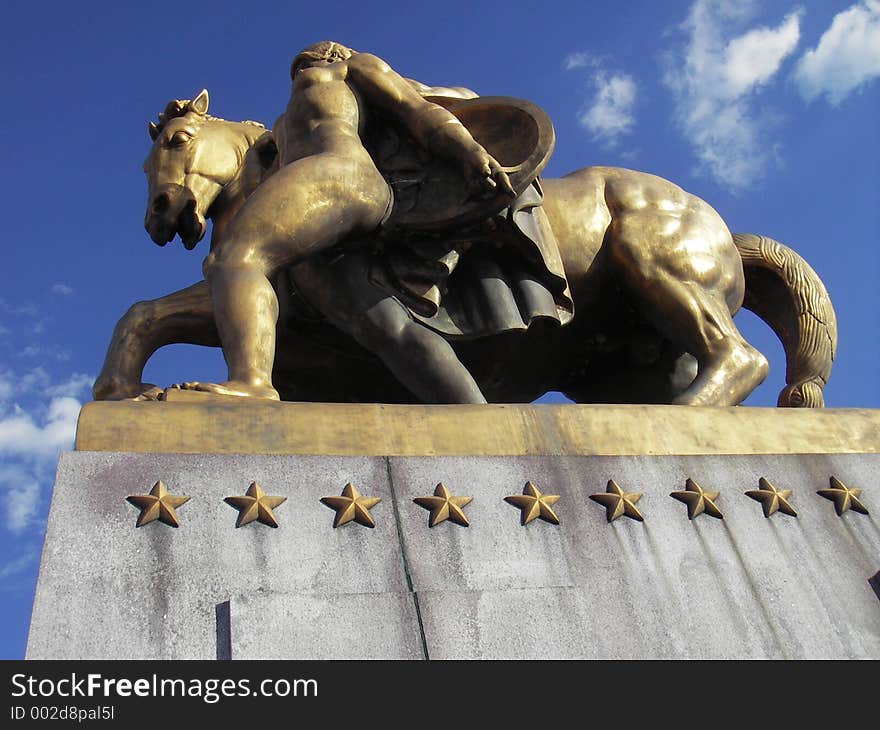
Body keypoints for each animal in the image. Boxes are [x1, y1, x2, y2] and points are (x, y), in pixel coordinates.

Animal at [93, 89, 836, 404]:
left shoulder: (371, 312)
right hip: (629, 356)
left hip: (660, 268)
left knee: (740, 356)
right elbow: (148, 313)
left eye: (178, 141)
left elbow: (433, 367)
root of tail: (725, 232)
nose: (159, 214)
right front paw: (118, 391)